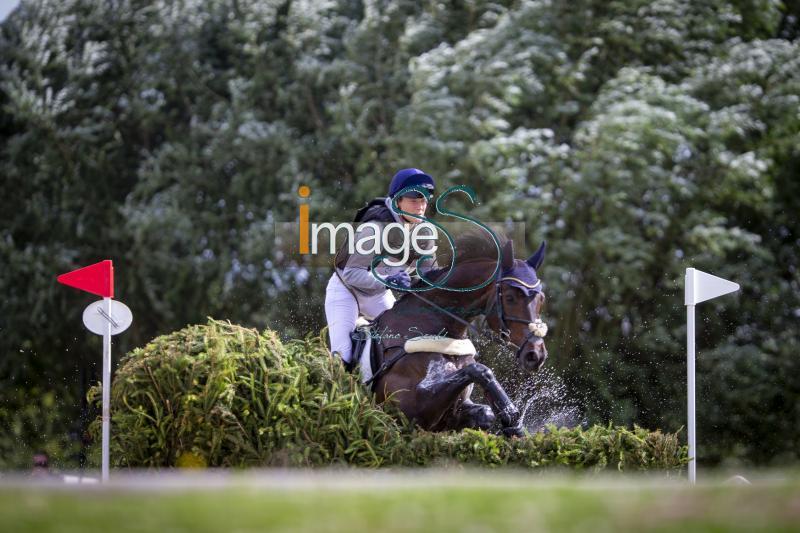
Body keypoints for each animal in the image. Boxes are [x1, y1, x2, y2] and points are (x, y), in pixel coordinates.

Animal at [370, 233, 552, 436]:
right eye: (510, 297)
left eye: (541, 299)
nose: (536, 355)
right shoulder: (409, 408)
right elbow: (480, 370)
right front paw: (511, 414)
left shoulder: (452, 411)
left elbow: (485, 413)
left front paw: (513, 424)